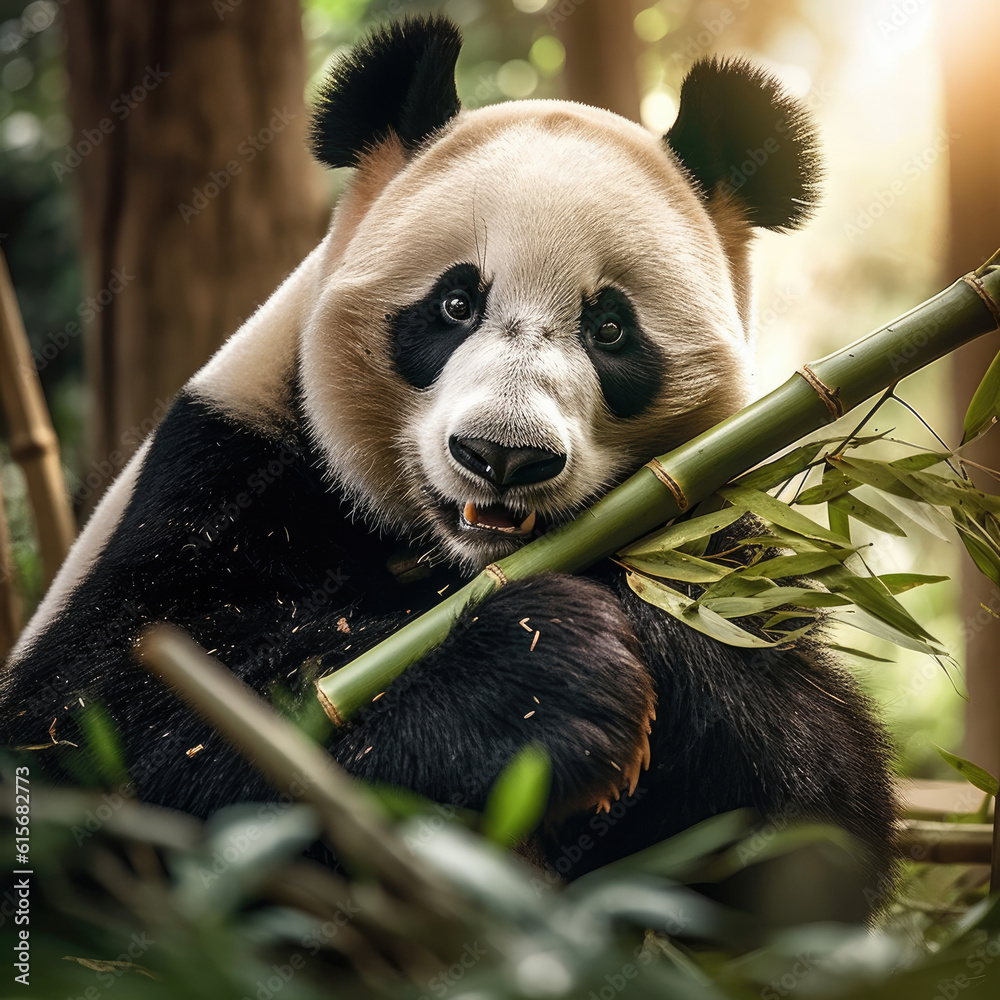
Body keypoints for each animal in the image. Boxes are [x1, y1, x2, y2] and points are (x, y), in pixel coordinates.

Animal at [1, 13, 900, 908]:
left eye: (610, 329)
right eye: (455, 303)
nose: (502, 454)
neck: (461, 560)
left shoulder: (727, 531)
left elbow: (816, 799)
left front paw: (638, 620)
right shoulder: (225, 469)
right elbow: (99, 723)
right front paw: (537, 677)